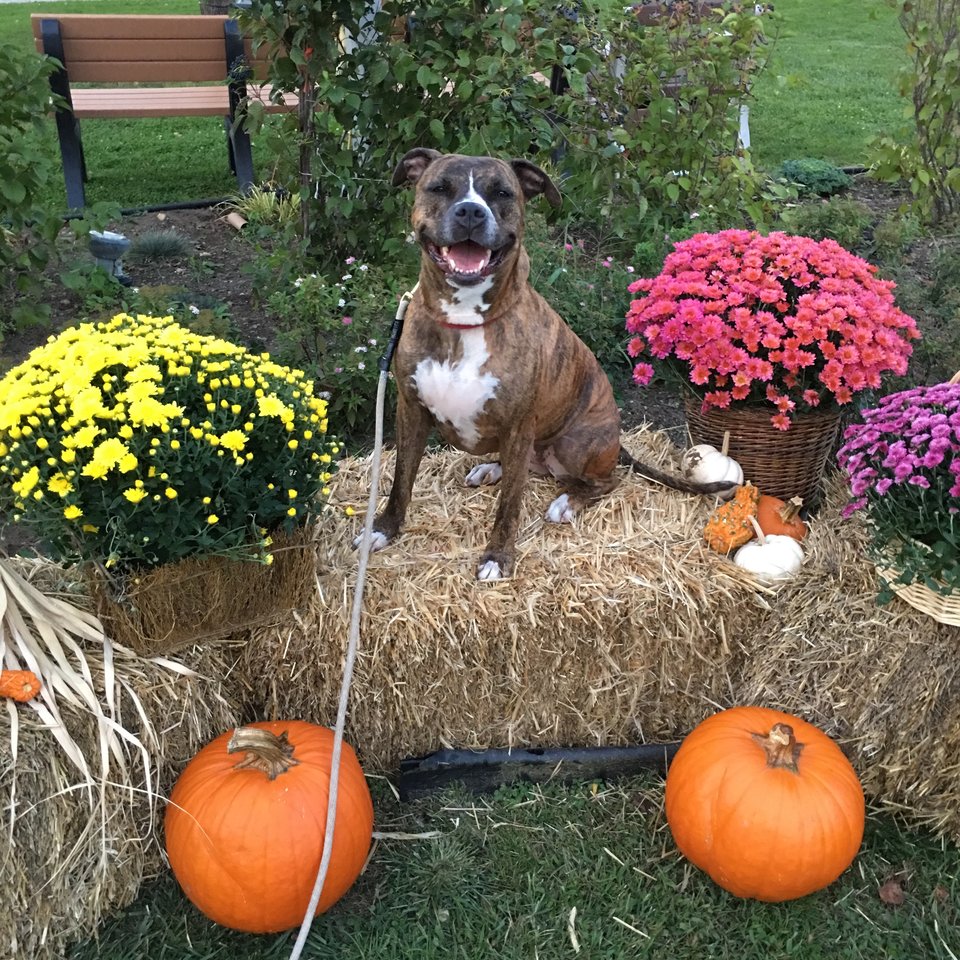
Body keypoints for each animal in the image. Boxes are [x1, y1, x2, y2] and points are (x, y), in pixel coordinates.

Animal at [358, 148, 734, 580]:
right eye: (440, 187)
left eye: (502, 193)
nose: (471, 211)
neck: (465, 319)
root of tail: (617, 442)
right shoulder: (410, 410)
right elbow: (401, 478)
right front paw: (383, 529)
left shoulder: (519, 423)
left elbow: (509, 505)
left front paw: (497, 557)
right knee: (524, 468)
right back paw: (493, 468)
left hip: (573, 443)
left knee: (604, 480)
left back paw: (566, 501)